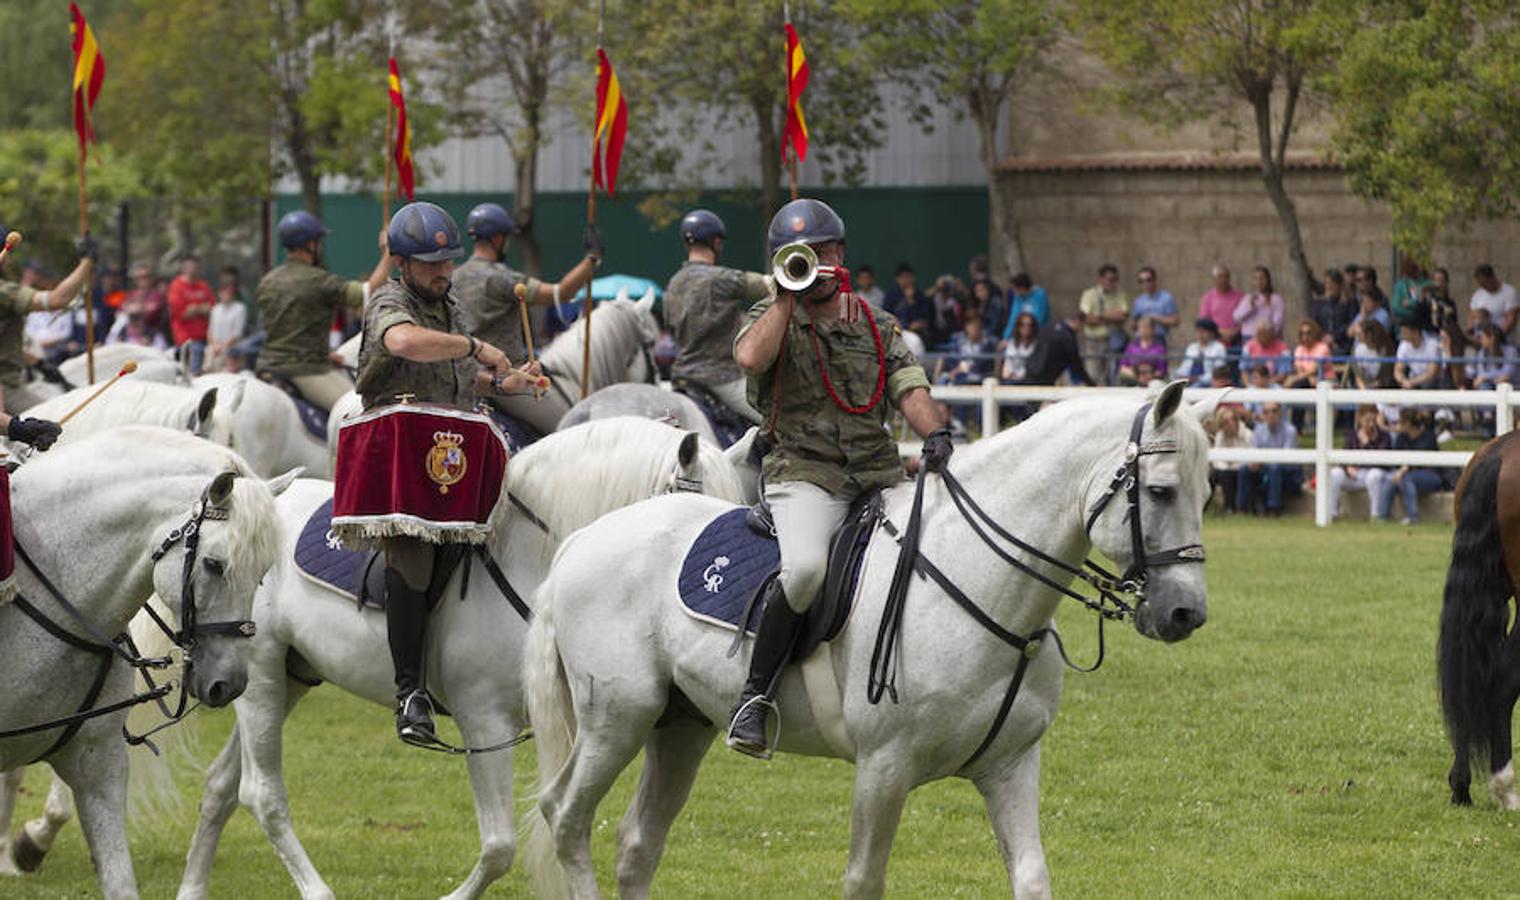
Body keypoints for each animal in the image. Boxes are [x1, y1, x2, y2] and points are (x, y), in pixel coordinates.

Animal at [174, 416, 744, 900]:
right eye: (691, 513)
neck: (537, 562)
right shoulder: (484, 720)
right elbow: (500, 847)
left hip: (283, 678)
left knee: (222, 786)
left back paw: (192, 888)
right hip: (262, 680)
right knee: (260, 794)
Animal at [522, 383, 1209, 893]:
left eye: (1206, 492)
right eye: (1159, 491)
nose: (1185, 614)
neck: (974, 577)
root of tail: (583, 539)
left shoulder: (1011, 766)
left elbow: (1032, 878)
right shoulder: (884, 769)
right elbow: (864, 879)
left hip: (680, 726)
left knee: (637, 842)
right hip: (618, 719)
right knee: (566, 818)